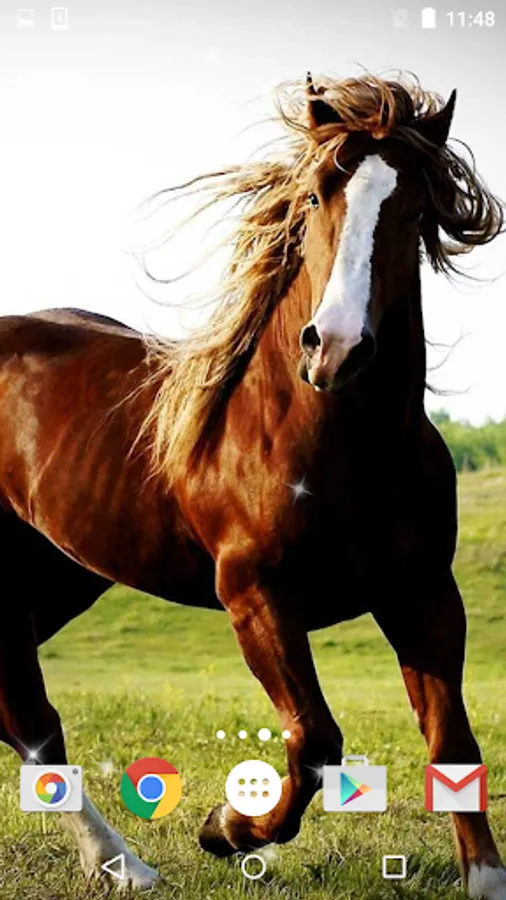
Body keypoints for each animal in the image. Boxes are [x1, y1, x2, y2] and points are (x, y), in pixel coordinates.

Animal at [0, 72, 504, 898]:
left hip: (61, 577)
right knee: (32, 721)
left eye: (416, 207)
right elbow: (315, 739)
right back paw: (126, 864)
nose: (334, 349)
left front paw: (488, 878)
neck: (335, 444)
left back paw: (117, 862)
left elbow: (452, 742)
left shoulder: (425, 593)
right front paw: (226, 828)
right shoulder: (255, 596)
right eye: (315, 194)